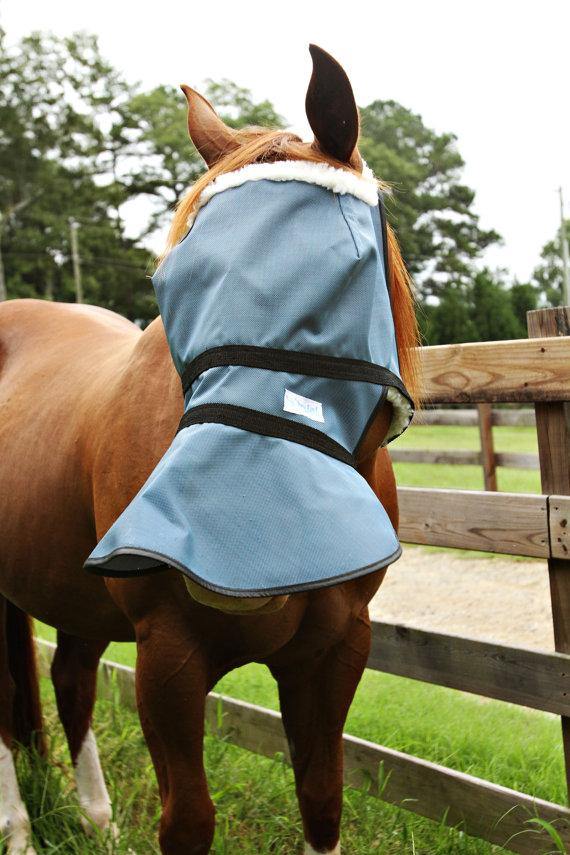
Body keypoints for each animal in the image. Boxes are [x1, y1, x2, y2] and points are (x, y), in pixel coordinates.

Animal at [0, 45, 420, 855]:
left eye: (343, 272)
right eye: (173, 283)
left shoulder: (336, 651)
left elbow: (322, 798)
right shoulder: (167, 655)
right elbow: (188, 821)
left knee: (69, 682)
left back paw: (97, 821)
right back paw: (19, 830)